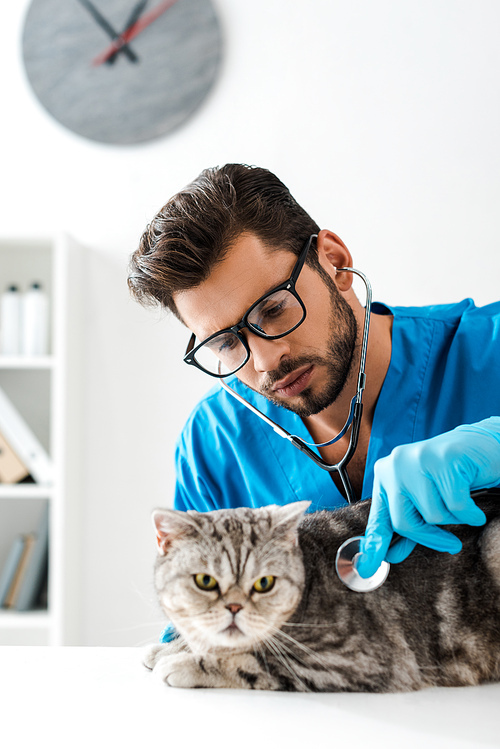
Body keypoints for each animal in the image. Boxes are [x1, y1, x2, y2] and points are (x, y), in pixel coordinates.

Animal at [144, 494, 500, 692]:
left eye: (263, 583)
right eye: (205, 581)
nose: (233, 608)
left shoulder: (356, 659)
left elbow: (255, 663)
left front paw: (185, 663)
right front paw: (170, 648)